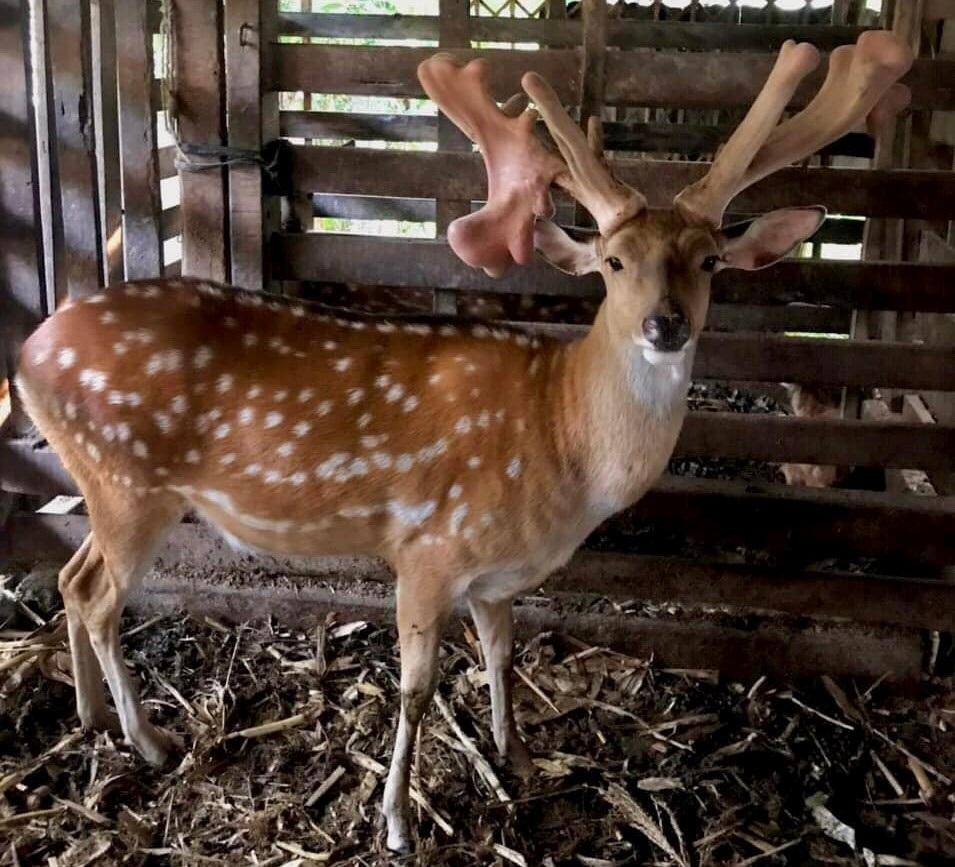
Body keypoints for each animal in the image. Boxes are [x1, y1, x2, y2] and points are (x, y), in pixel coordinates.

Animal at [14, 28, 912, 856]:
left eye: (711, 260)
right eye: (613, 261)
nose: (665, 323)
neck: (562, 447)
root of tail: (26, 355)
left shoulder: (496, 573)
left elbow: (503, 655)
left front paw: (518, 758)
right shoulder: (427, 549)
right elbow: (415, 687)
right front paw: (397, 819)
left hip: (111, 483)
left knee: (68, 574)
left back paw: (91, 715)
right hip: (128, 478)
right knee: (98, 592)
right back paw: (150, 739)